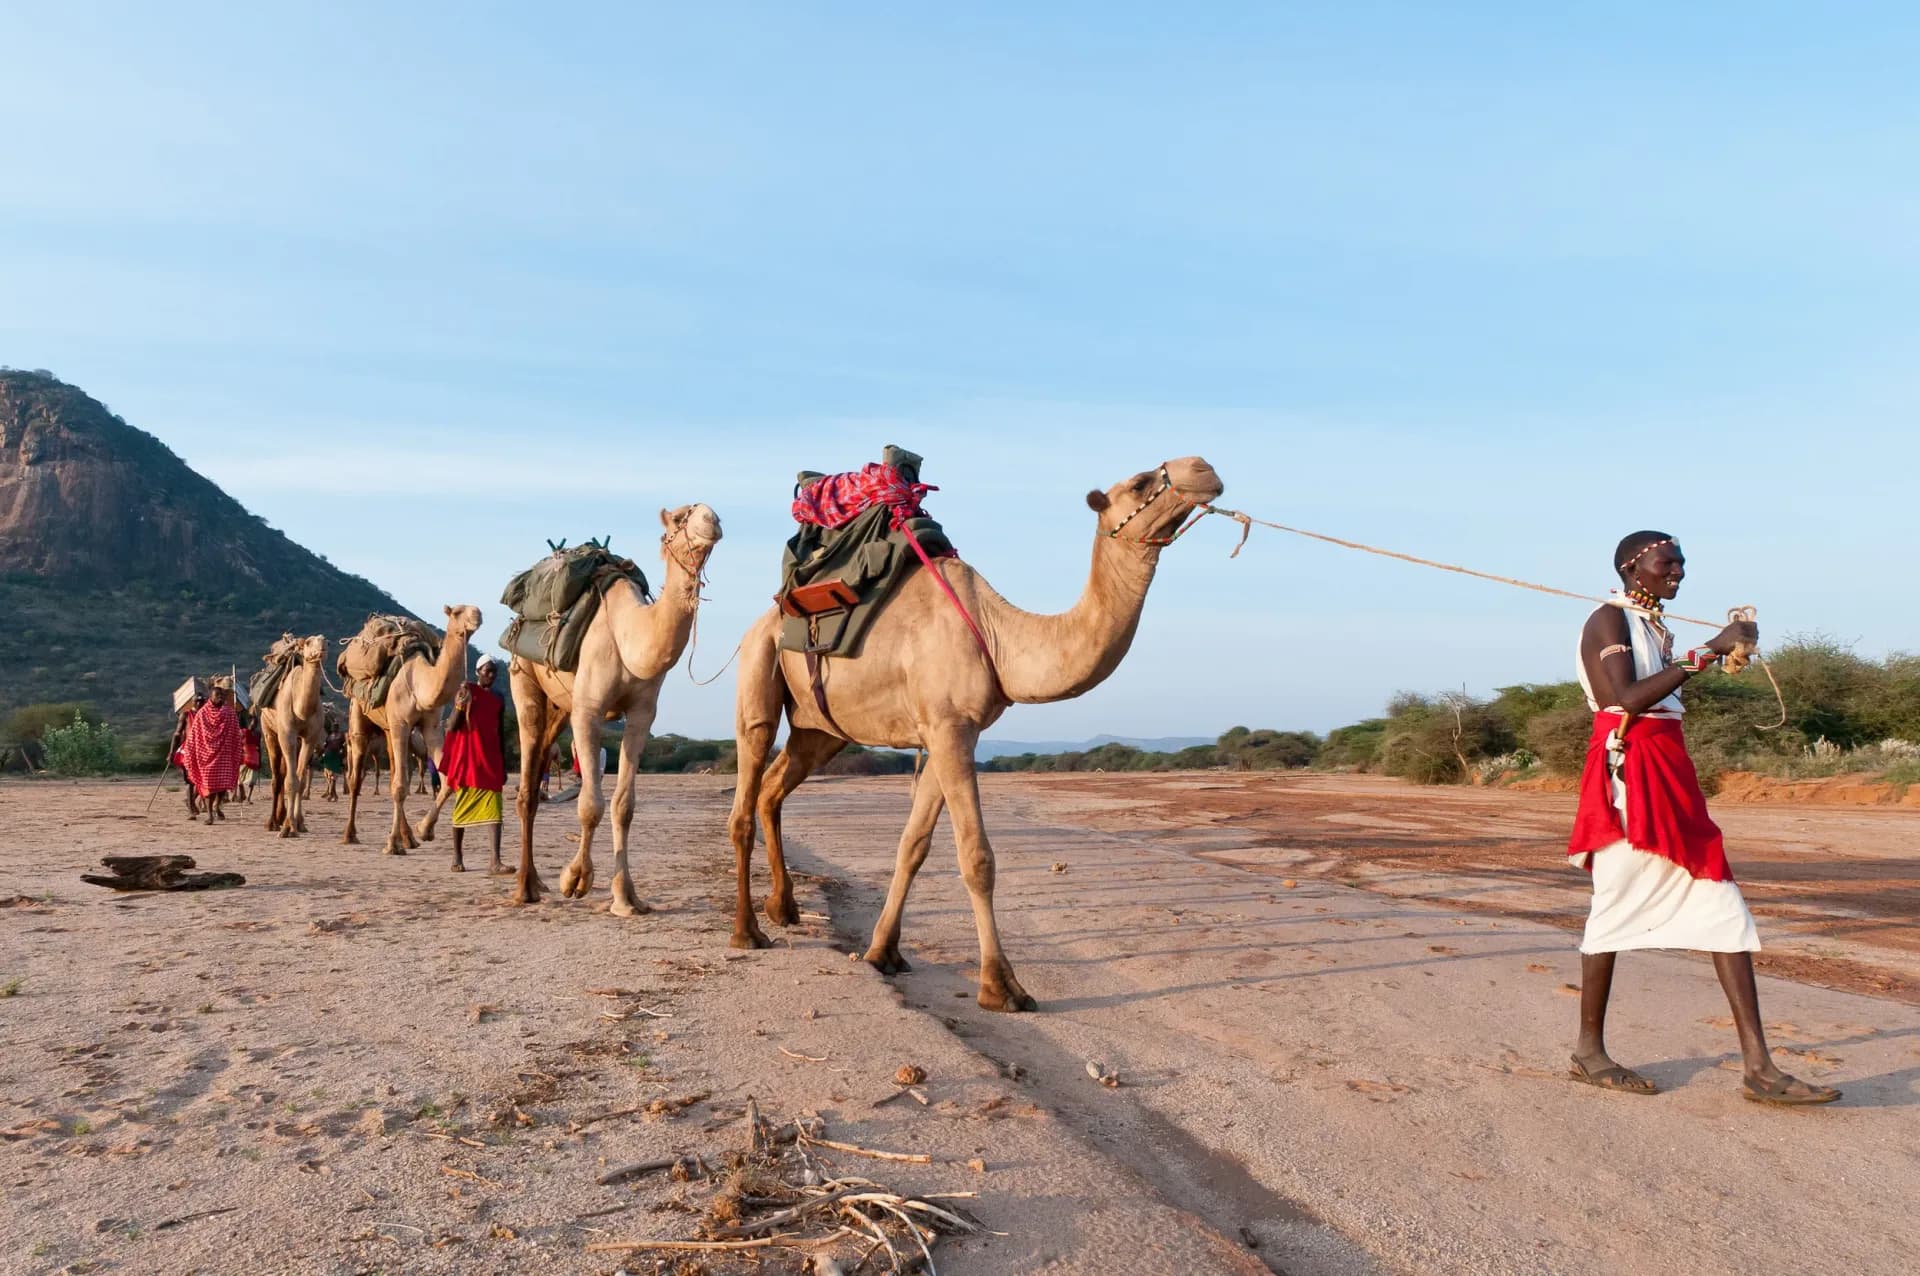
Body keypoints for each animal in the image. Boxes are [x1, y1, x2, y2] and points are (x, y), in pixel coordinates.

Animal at [259, 633, 327, 837]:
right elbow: (290, 781)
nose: (321, 649)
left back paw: (281, 819)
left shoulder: (310, 738)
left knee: (285, 773)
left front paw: (299, 823)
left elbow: (300, 780)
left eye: (326, 641)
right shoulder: (287, 734)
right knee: (277, 778)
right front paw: (288, 828)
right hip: (269, 732)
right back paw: (272, 822)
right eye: (309, 642)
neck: (302, 709)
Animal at [340, 605, 481, 854]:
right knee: (356, 777)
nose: (477, 615)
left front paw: (423, 830)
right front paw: (391, 845)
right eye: (457, 611)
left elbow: (447, 779)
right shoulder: (401, 724)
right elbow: (399, 787)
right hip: (358, 712)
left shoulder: (431, 727)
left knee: (393, 772)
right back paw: (350, 834)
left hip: (389, 729)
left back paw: (408, 839)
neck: (418, 684)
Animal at [507, 505, 723, 913]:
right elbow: (590, 803)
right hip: (523, 677)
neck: (630, 636)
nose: (712, 519)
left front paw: (626, 897)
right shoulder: (588, 712)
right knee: (526, 782)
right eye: (680, 518)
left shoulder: (641, 715)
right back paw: (524, 887)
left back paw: (536, 881)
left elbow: (624, 806)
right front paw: (574, 880)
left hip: (560, 706)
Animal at [727, 456, 1224, 1011]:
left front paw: (883, 952)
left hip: (820, 729)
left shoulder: (952, 731)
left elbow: (914, 844)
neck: (998, 635)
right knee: (746, 787)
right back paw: (747, 931)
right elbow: (976, 857)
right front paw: (1001, 986)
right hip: (759, 668)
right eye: (1139, 483)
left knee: (774, 788)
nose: (1203, 468)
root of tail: (767, 617)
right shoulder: (948, 727)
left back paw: (783, 907)